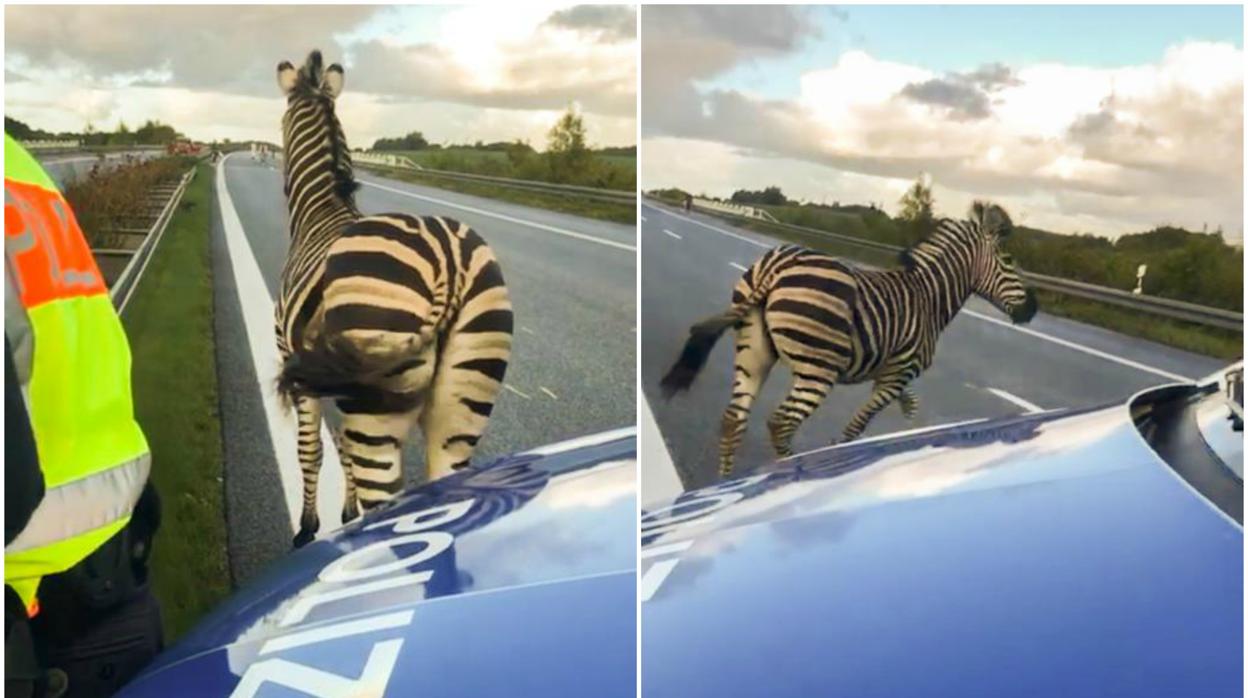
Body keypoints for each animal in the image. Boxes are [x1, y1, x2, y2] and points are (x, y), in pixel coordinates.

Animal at [273, 51, 511, 549]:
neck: (320, 211)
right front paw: (344, 514)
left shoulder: (290, 354)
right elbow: (339, 448)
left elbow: (310, 449)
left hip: (379, 412)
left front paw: (308, 528)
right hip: (461, 406)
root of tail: (451, 265)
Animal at [658, 199, 1038, 476]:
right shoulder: (896, 374)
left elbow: (911, 405)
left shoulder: (893, 374)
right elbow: (858, 425)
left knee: (733, 419)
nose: (1033, 309)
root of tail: (775, 267)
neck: (929, 298)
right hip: (818, 369)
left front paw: (914, 433)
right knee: (781, 423)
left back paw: (726, 483)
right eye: (1008, 260)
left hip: (755, 352)